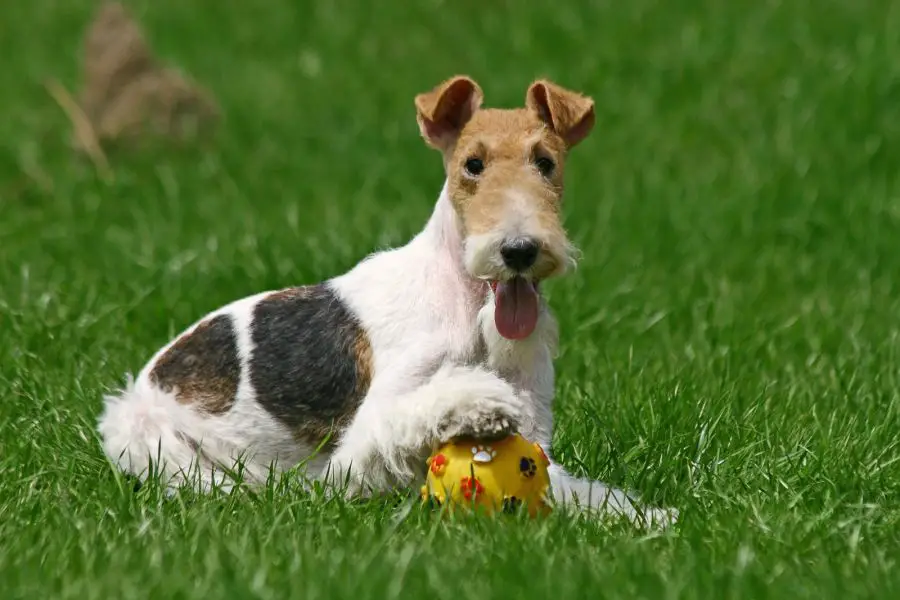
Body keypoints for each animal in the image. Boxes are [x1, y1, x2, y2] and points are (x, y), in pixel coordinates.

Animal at [98, 74, 676, 524]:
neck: (471, 312)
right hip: (150, 440)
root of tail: (147, 377)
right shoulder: (355, 451)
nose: (519, 250)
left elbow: (572, 488)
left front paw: (650, 518)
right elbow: (420, 410)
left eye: (546, 162)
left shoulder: (537, 437)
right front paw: (480, 402)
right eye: (472, 165)